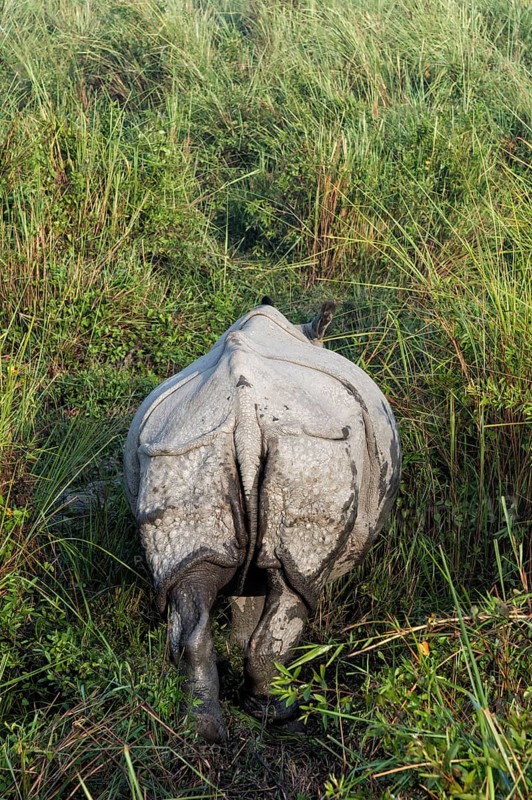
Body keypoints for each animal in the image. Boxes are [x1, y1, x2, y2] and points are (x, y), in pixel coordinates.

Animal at [124, 299, 401, 742]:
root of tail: (244, 419)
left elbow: (243, 596)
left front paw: (235, 647)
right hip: (310, 446)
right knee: (293, 587)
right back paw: (280, 711)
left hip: (183, 449)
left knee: (192, 581)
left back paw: (202, 725)